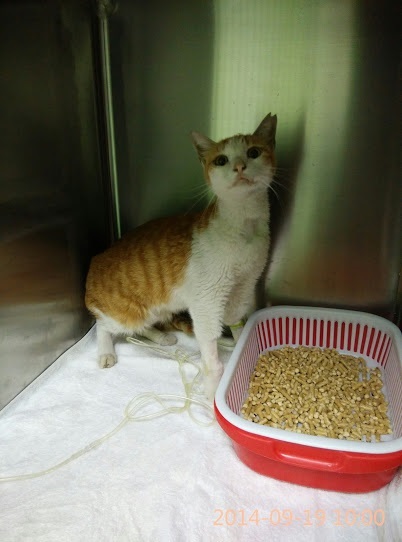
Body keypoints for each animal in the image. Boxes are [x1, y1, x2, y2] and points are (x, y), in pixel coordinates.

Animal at [85, 113, 277, 398]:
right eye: (221, 160)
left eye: (253, 152)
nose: (240, 166)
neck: (245, 227)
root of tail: (96, 259)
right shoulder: (207, 301)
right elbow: (210, 349)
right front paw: (212, 388)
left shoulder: (243, 287)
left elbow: (235, 322)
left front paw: (240, 344)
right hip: (128, 313)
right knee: (104, 326)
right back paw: (106, 351)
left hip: (158, 308)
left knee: (142, 327)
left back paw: (160, 336)